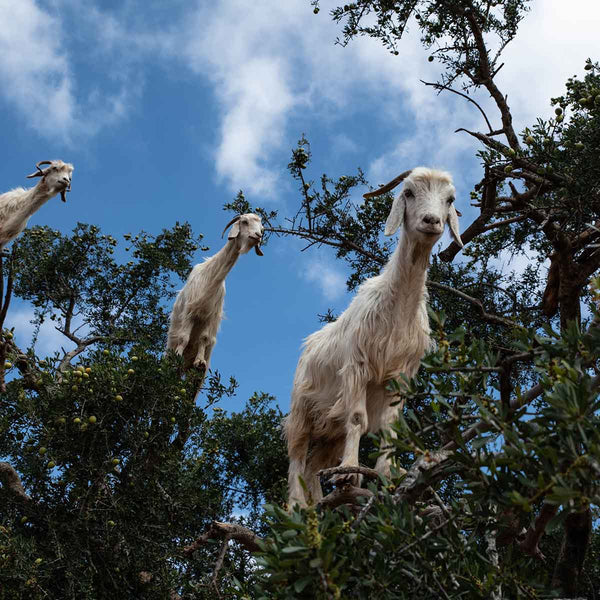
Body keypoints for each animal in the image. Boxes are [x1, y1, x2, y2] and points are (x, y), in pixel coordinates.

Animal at [166, 213, 264, 372]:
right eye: (244, 221)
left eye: (262, 228)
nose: (258, 236)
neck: (211, 277)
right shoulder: (189, 311)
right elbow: (184, 337)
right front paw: (178, 355)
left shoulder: (210, 316)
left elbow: (204, 338)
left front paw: (200, 361)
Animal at [286, 165, 464, 506]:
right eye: (409, 192)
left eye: (449, 199)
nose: (432, 221)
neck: (396, 310)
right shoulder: (357, 367)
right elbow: (358, 418)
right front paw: (349, 471)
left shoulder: (401, 375)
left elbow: (389, 426)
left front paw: (386, 473)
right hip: (301, 411)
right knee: (297, 458)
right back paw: (296, 507)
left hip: (331, 428)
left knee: (314, 466)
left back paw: (319, 505)